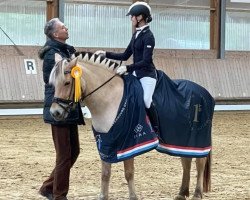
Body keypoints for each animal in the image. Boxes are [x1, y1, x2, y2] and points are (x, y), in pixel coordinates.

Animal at [49, 52, 215, 200]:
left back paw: (197, 194)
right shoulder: (105, 143)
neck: (109, 98)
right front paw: (103, 196)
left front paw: (133, 196)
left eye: (67, 83)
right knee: (186, 162)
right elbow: (105, 174)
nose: (55, 112)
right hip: (182, 139)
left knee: (200, 162)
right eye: (53, 84)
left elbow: (128, 173)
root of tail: (205, 92)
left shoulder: (128, 142)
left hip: (198, 139)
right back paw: (182, 193)